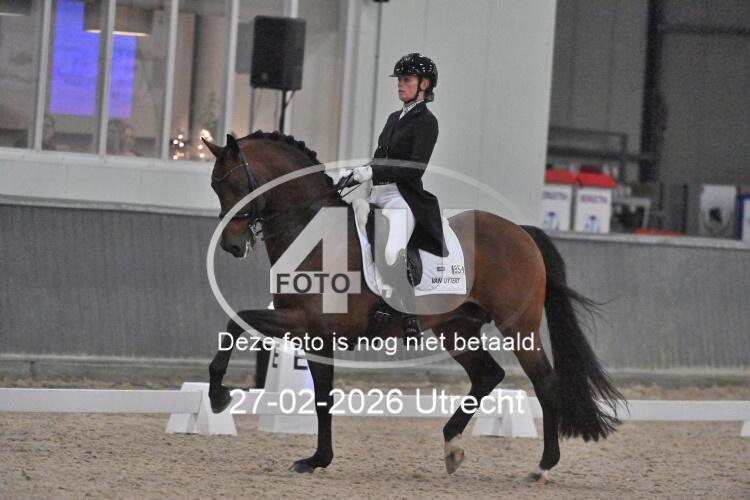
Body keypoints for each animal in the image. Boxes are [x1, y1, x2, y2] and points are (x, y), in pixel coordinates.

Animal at [203, 131, 624, 483]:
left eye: (236, 185)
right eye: (214, 186)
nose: (232, 245)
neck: (315, 234)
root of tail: (521, 232)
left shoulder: (306, 322)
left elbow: (236, 321)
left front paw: (218, 396)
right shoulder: (313, 334)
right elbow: (321, 397)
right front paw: (316, 459)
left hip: (518, 328)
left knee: (545, 383)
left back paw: (542, 466)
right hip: (456, 329)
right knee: (488, 375)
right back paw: (452, 446)